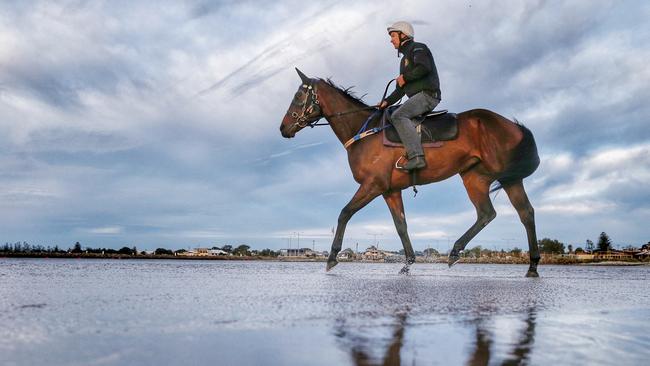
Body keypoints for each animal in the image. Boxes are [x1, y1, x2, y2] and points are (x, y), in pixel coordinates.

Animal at [278, 68, 540, 278]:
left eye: (299, 96)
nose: (283, 128)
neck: (365, 131)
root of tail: (512, 125)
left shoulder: (372, 185)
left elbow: (345, 213)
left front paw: (332, 257)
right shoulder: (390, 191)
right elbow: (401, 225)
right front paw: (409, 263)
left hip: (488, 177)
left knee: (491, 213)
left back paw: (456, 251)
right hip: (492, 178)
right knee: (519, 213)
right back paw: (532, 266)